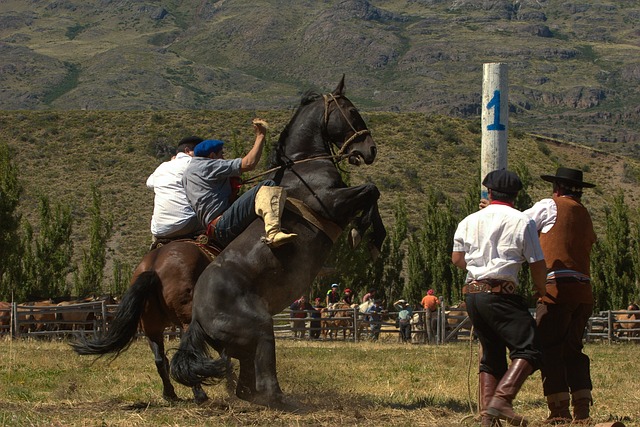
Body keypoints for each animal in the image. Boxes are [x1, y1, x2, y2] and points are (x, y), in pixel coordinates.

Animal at [168, 75, 384, 406]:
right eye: (351, 110)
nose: (369, 149)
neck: (304, 165)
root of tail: (197, 319)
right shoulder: (332, 204)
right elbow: (371, 190)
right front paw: (363, 234)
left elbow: (373, 195)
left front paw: (374, 238)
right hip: (260, 328)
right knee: (266, 381)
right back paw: (283, 400)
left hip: (242, 346)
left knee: (246, 384)